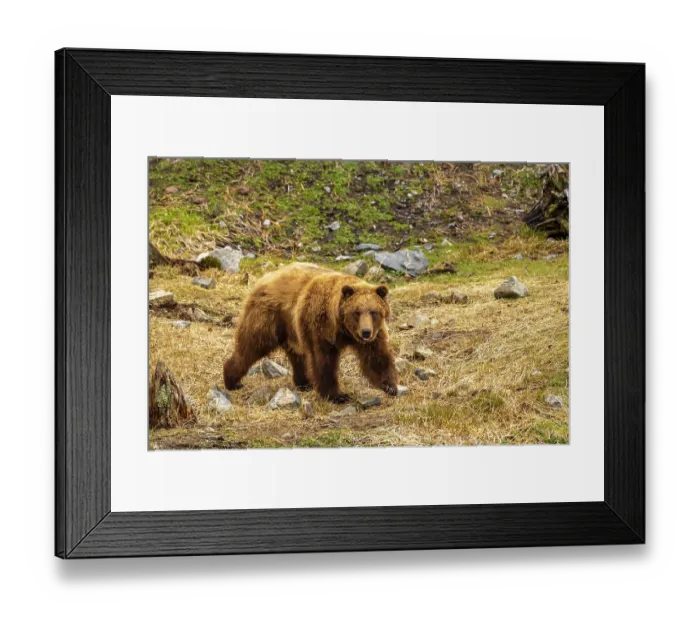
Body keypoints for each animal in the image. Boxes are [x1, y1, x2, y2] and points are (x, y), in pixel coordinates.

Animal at [223, 263, 398, 403]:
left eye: (374, 311)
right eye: (356, 312)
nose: (366, 332)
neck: (342, 328)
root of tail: (265, 278)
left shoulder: (374, 334)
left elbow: (376, 357)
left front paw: (390, 386)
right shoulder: (320, 327)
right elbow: (323, 361)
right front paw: (337, 395)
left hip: (291, 326)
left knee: (296, 353)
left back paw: (303, 382)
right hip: (269, 316)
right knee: (252, 344)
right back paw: (232, 380)